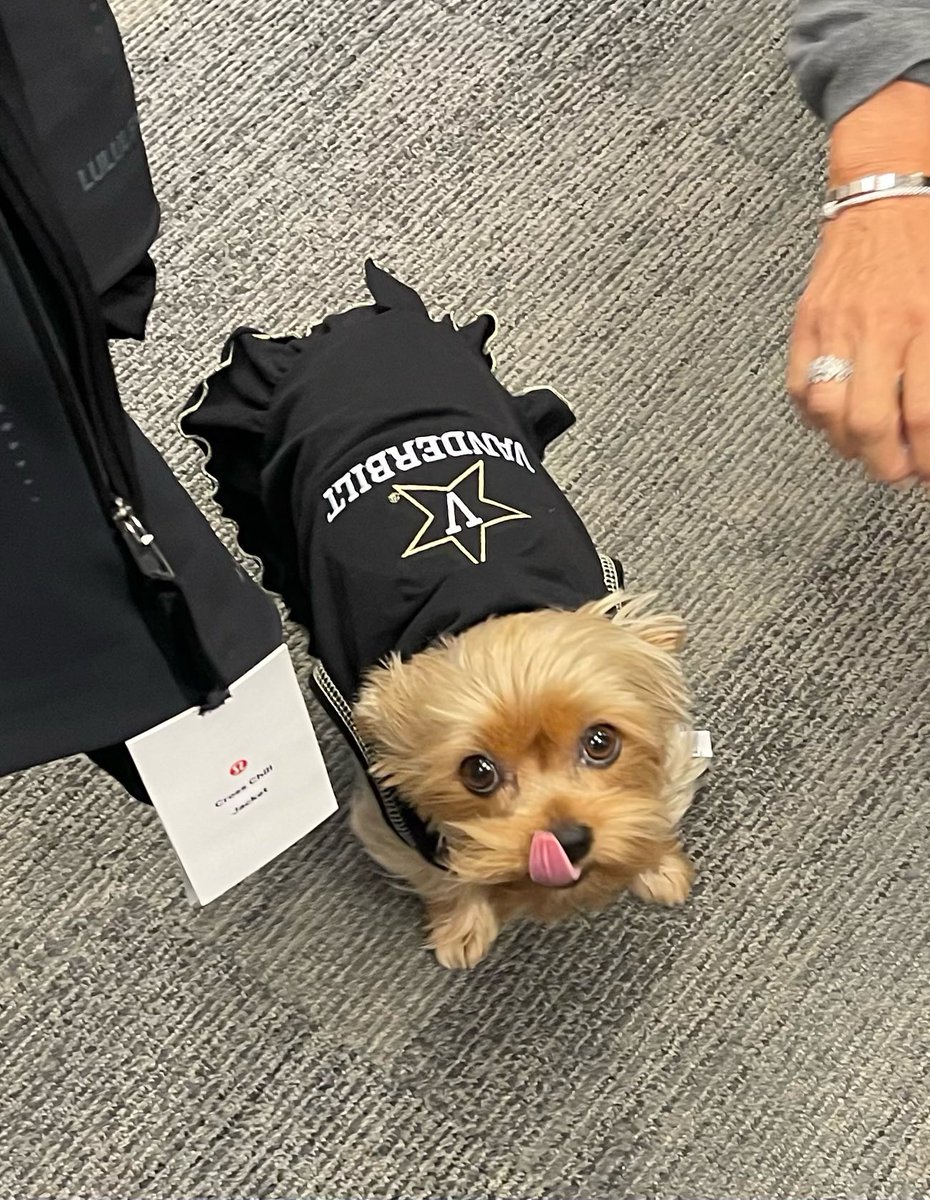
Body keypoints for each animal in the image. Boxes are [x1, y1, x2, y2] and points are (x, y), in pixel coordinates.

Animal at [182, 260, 710, 964]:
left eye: (602, 742)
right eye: (477, 773)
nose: (567, 841)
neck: (483, 599)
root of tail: (347, 329)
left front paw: (656, 866)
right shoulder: (389, 808)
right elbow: (442, 872)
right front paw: (465, 927)